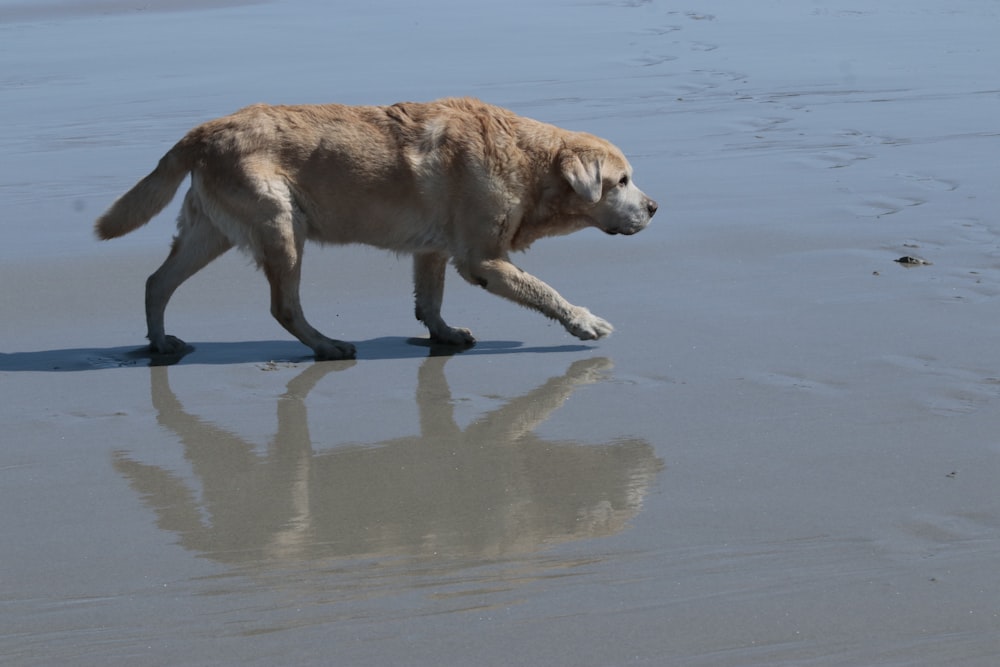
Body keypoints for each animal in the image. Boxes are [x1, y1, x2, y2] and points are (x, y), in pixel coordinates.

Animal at [94, 97, 656, 360]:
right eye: (622, 181)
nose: (654, 207)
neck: (530, 163)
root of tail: (203, 131)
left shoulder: (433, 252)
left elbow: (429, 301)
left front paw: (442, 333)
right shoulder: (482, 260)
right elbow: (544, 290)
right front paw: (583, 321)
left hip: (209, 234)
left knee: (155, 283)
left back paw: (160, 342)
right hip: (282, 226)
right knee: (283, 306)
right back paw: (326, 345)